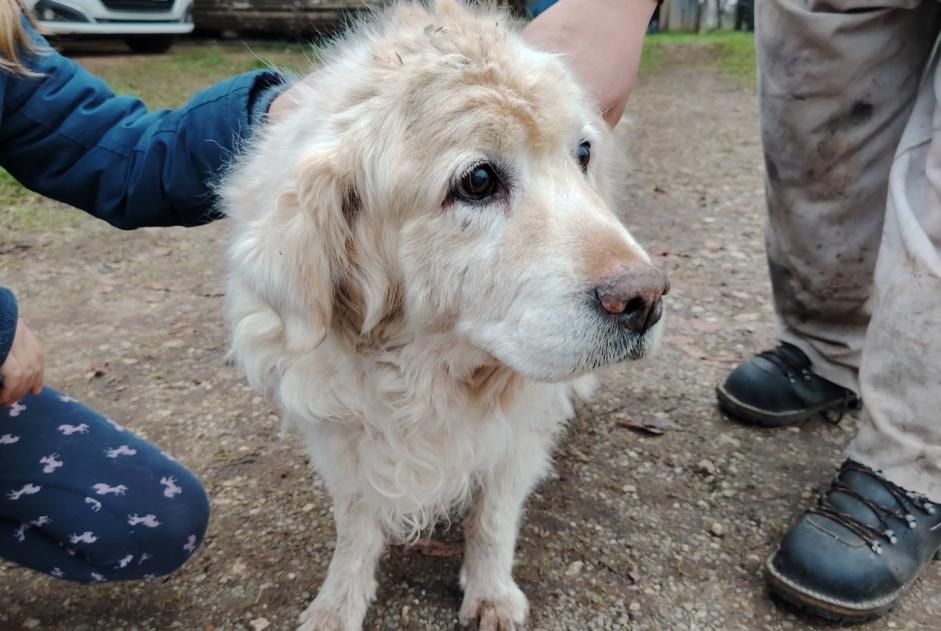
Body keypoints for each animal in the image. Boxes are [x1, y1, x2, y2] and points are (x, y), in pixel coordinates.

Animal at [223, 2, 668, 628]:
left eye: (581, 154)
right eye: (477, 181)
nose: (646, 299)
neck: (427, 375)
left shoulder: (518, 432)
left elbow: (493, 517)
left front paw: (491, 593)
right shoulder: (337, 431)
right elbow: (355, 526)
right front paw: (338, 603)